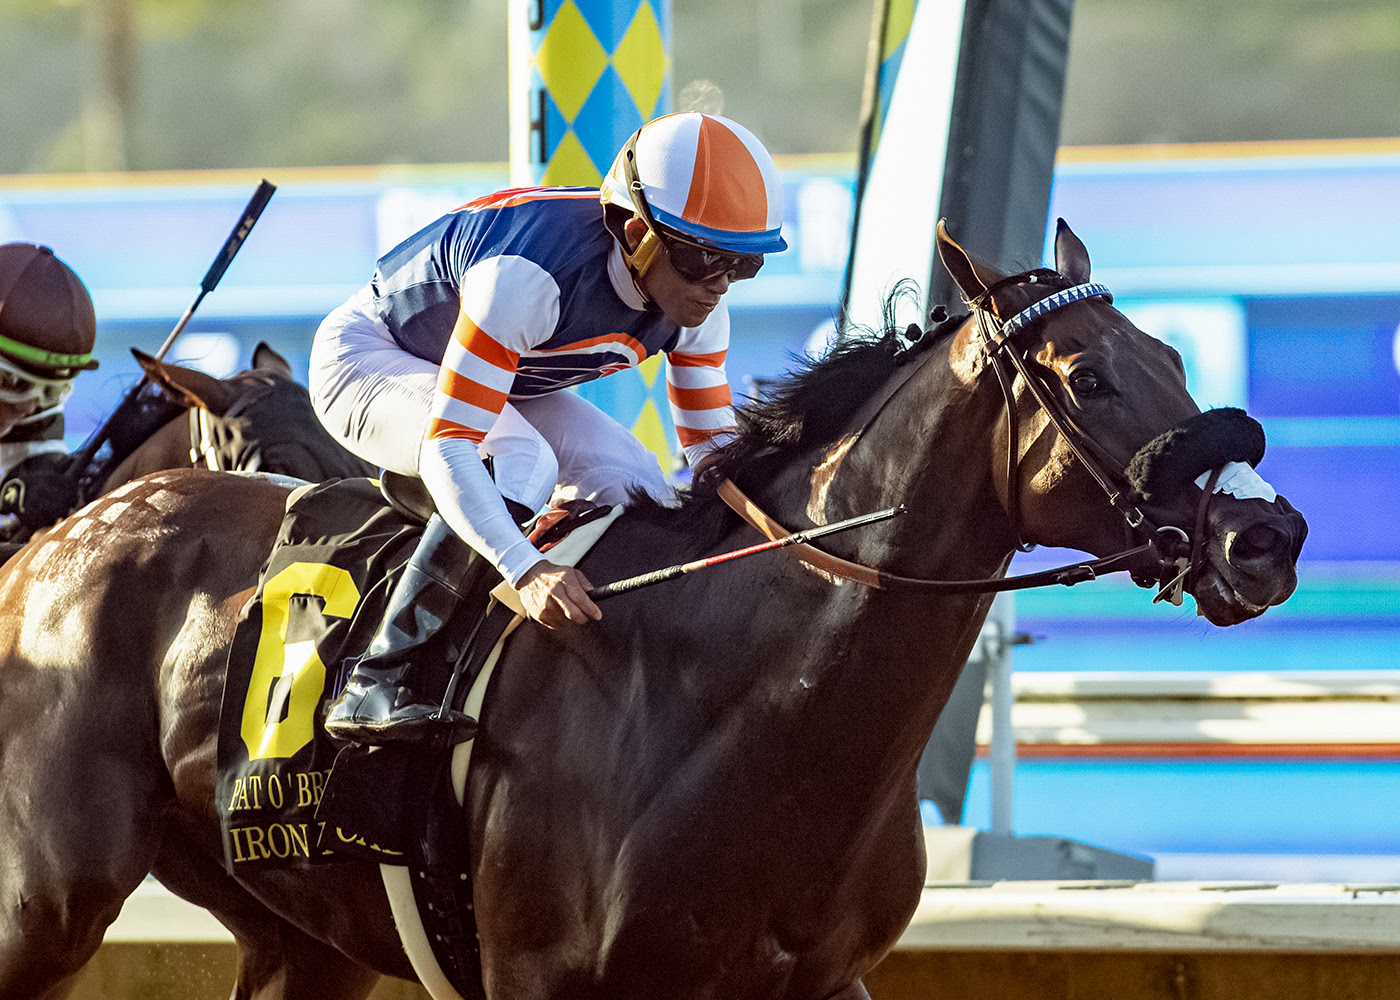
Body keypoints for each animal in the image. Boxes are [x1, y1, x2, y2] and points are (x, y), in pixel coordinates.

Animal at [0, 220, 1307, 1000]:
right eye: (1087, 375)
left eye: (1170, 359)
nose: (1268, 535)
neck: (741, 701)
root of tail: (48, 549)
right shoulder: (544, 982)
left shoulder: (821, 978)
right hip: (47, 899)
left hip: (297, 933)